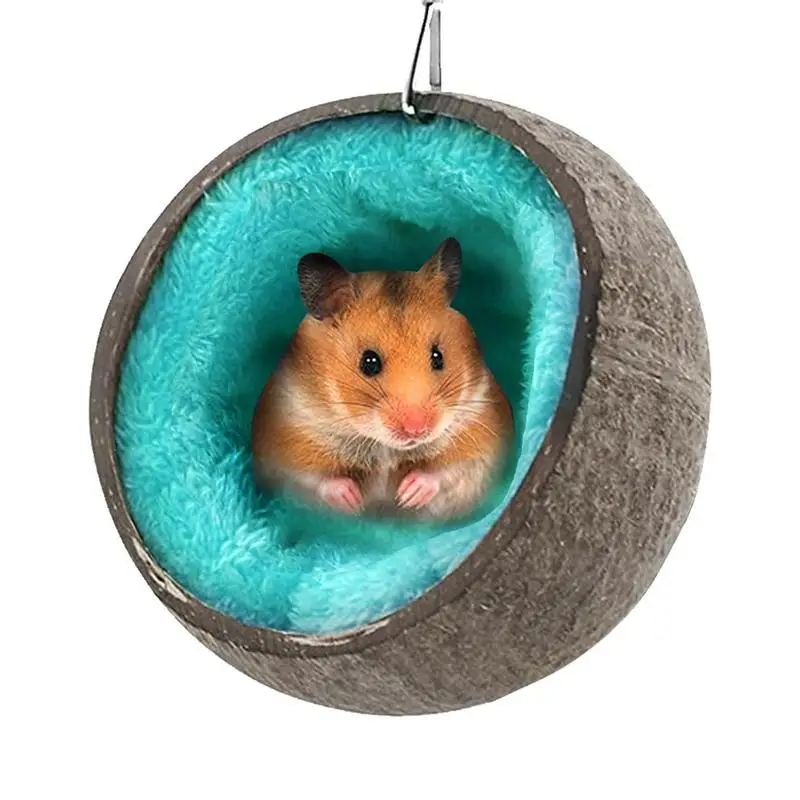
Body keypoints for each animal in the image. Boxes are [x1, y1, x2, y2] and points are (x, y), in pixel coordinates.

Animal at [251, 238, 513, 520]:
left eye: (438, 356)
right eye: (369, 362)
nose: (416, 430)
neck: (384, 447)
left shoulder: (482, 438)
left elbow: (449, 471)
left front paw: (407, 495)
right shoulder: (283, 447)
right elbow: (314, 479)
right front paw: (354, 501)